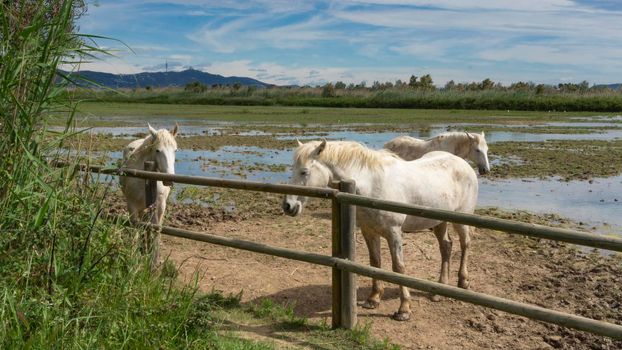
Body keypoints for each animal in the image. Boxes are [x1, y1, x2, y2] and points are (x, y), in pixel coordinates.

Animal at [282, 141, 478, 322]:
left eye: (304, 172)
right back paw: (438, 290)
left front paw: (404, 309)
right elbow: (375, 262)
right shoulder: (369, 232)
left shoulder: (394, 233)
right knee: (446, 247)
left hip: (461, 220)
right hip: (439, 222)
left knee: (465, 244)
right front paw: (373, 299)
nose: (288, 206)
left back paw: (463, 281)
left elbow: (398, 267)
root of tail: (463, 163)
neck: (371, 184)